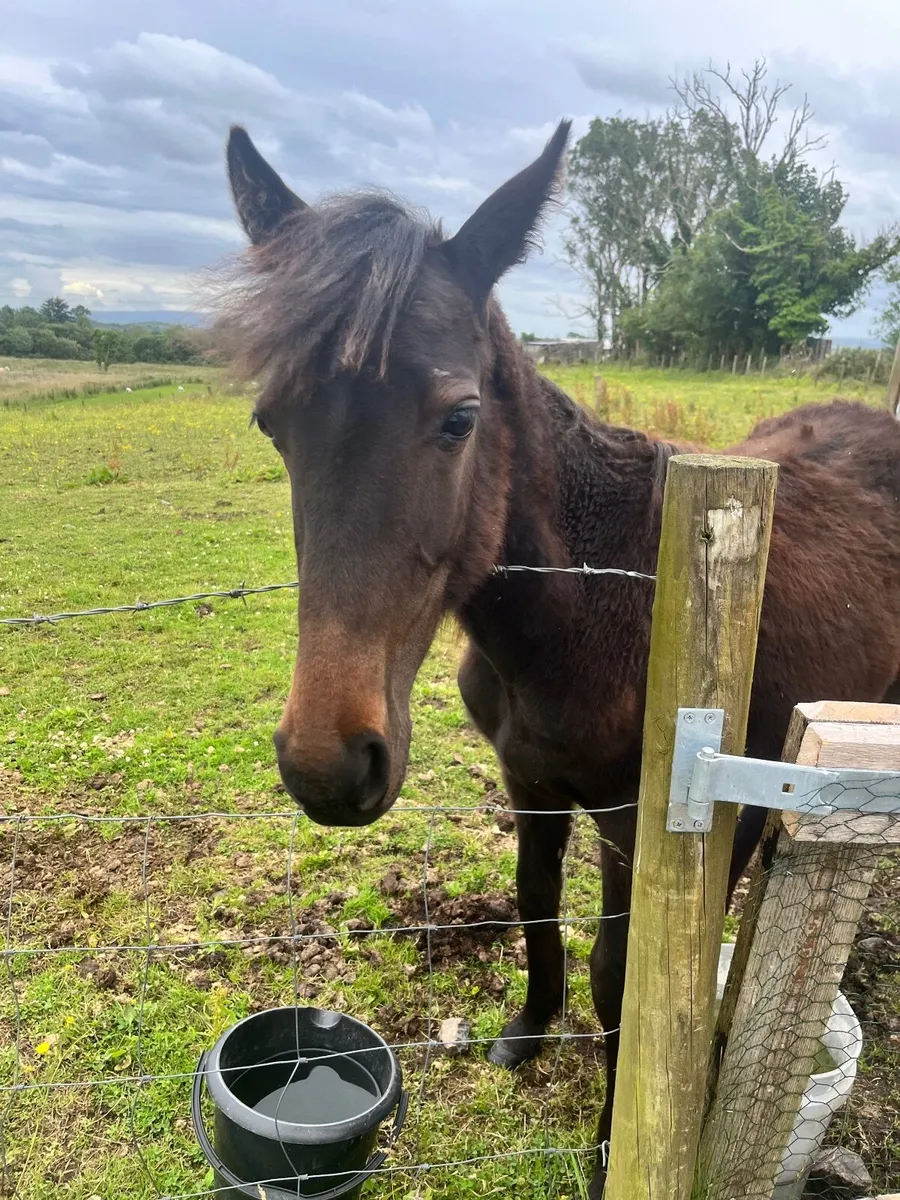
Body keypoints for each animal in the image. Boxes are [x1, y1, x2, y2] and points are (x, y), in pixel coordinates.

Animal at [215, 120, 900, 1198]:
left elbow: (624, 981)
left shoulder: (633, 821)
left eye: (459, 418)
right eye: (271, 424)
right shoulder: (528, 779)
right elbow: (534, 903)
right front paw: (528, 1032)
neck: (588, 600)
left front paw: (615, 1138)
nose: (327, 763)